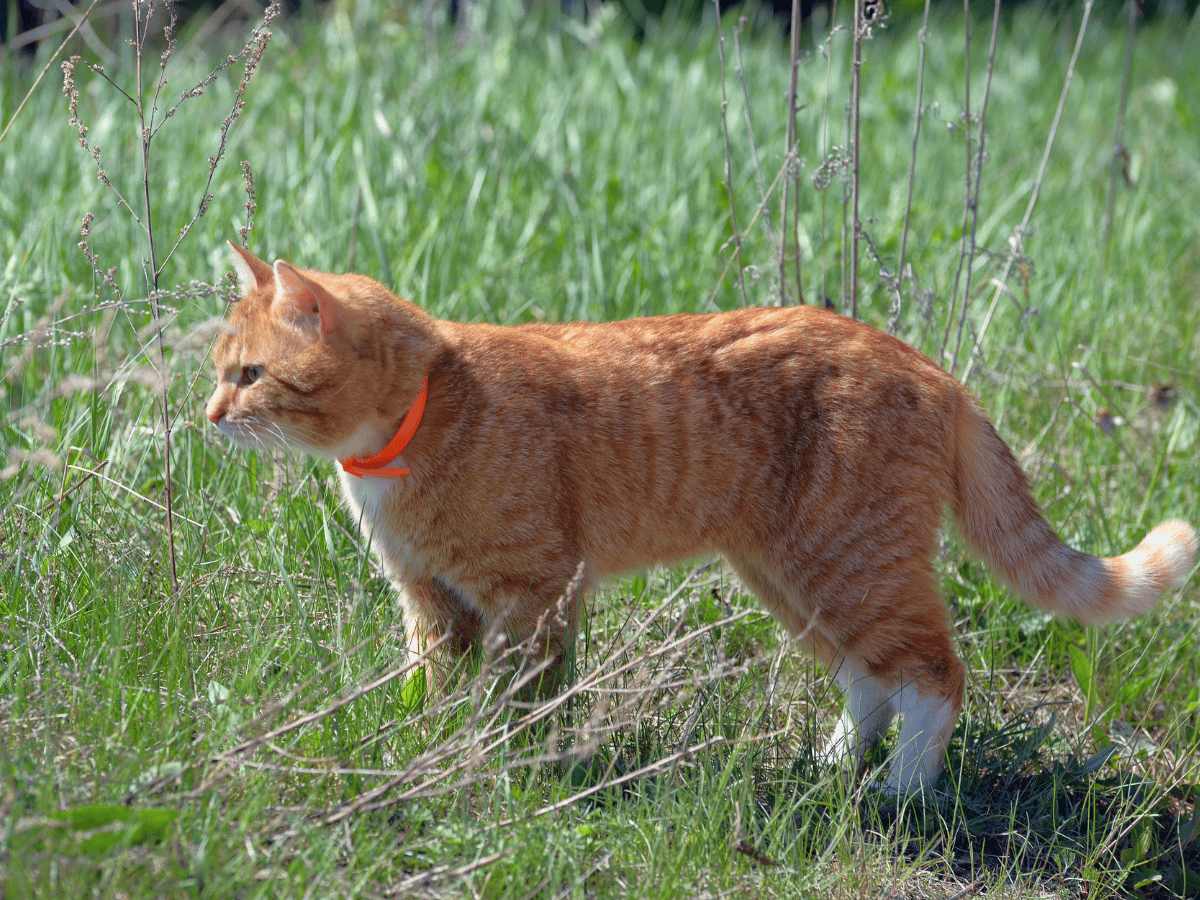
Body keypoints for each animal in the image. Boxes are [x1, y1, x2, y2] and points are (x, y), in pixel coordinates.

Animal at [206, 244, 1190, 796]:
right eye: (220, 371)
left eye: (250, 375)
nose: (209, 415)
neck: (419, 418)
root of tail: (924, 362)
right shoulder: (432, 602)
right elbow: (429, 689)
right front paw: (421, 748)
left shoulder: (532, 594)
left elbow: (523, 700)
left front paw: (503, 767)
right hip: (795, 575)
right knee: (869, 678)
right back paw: (833, 769)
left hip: (848, 562)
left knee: (936, 676)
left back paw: (901, 794)